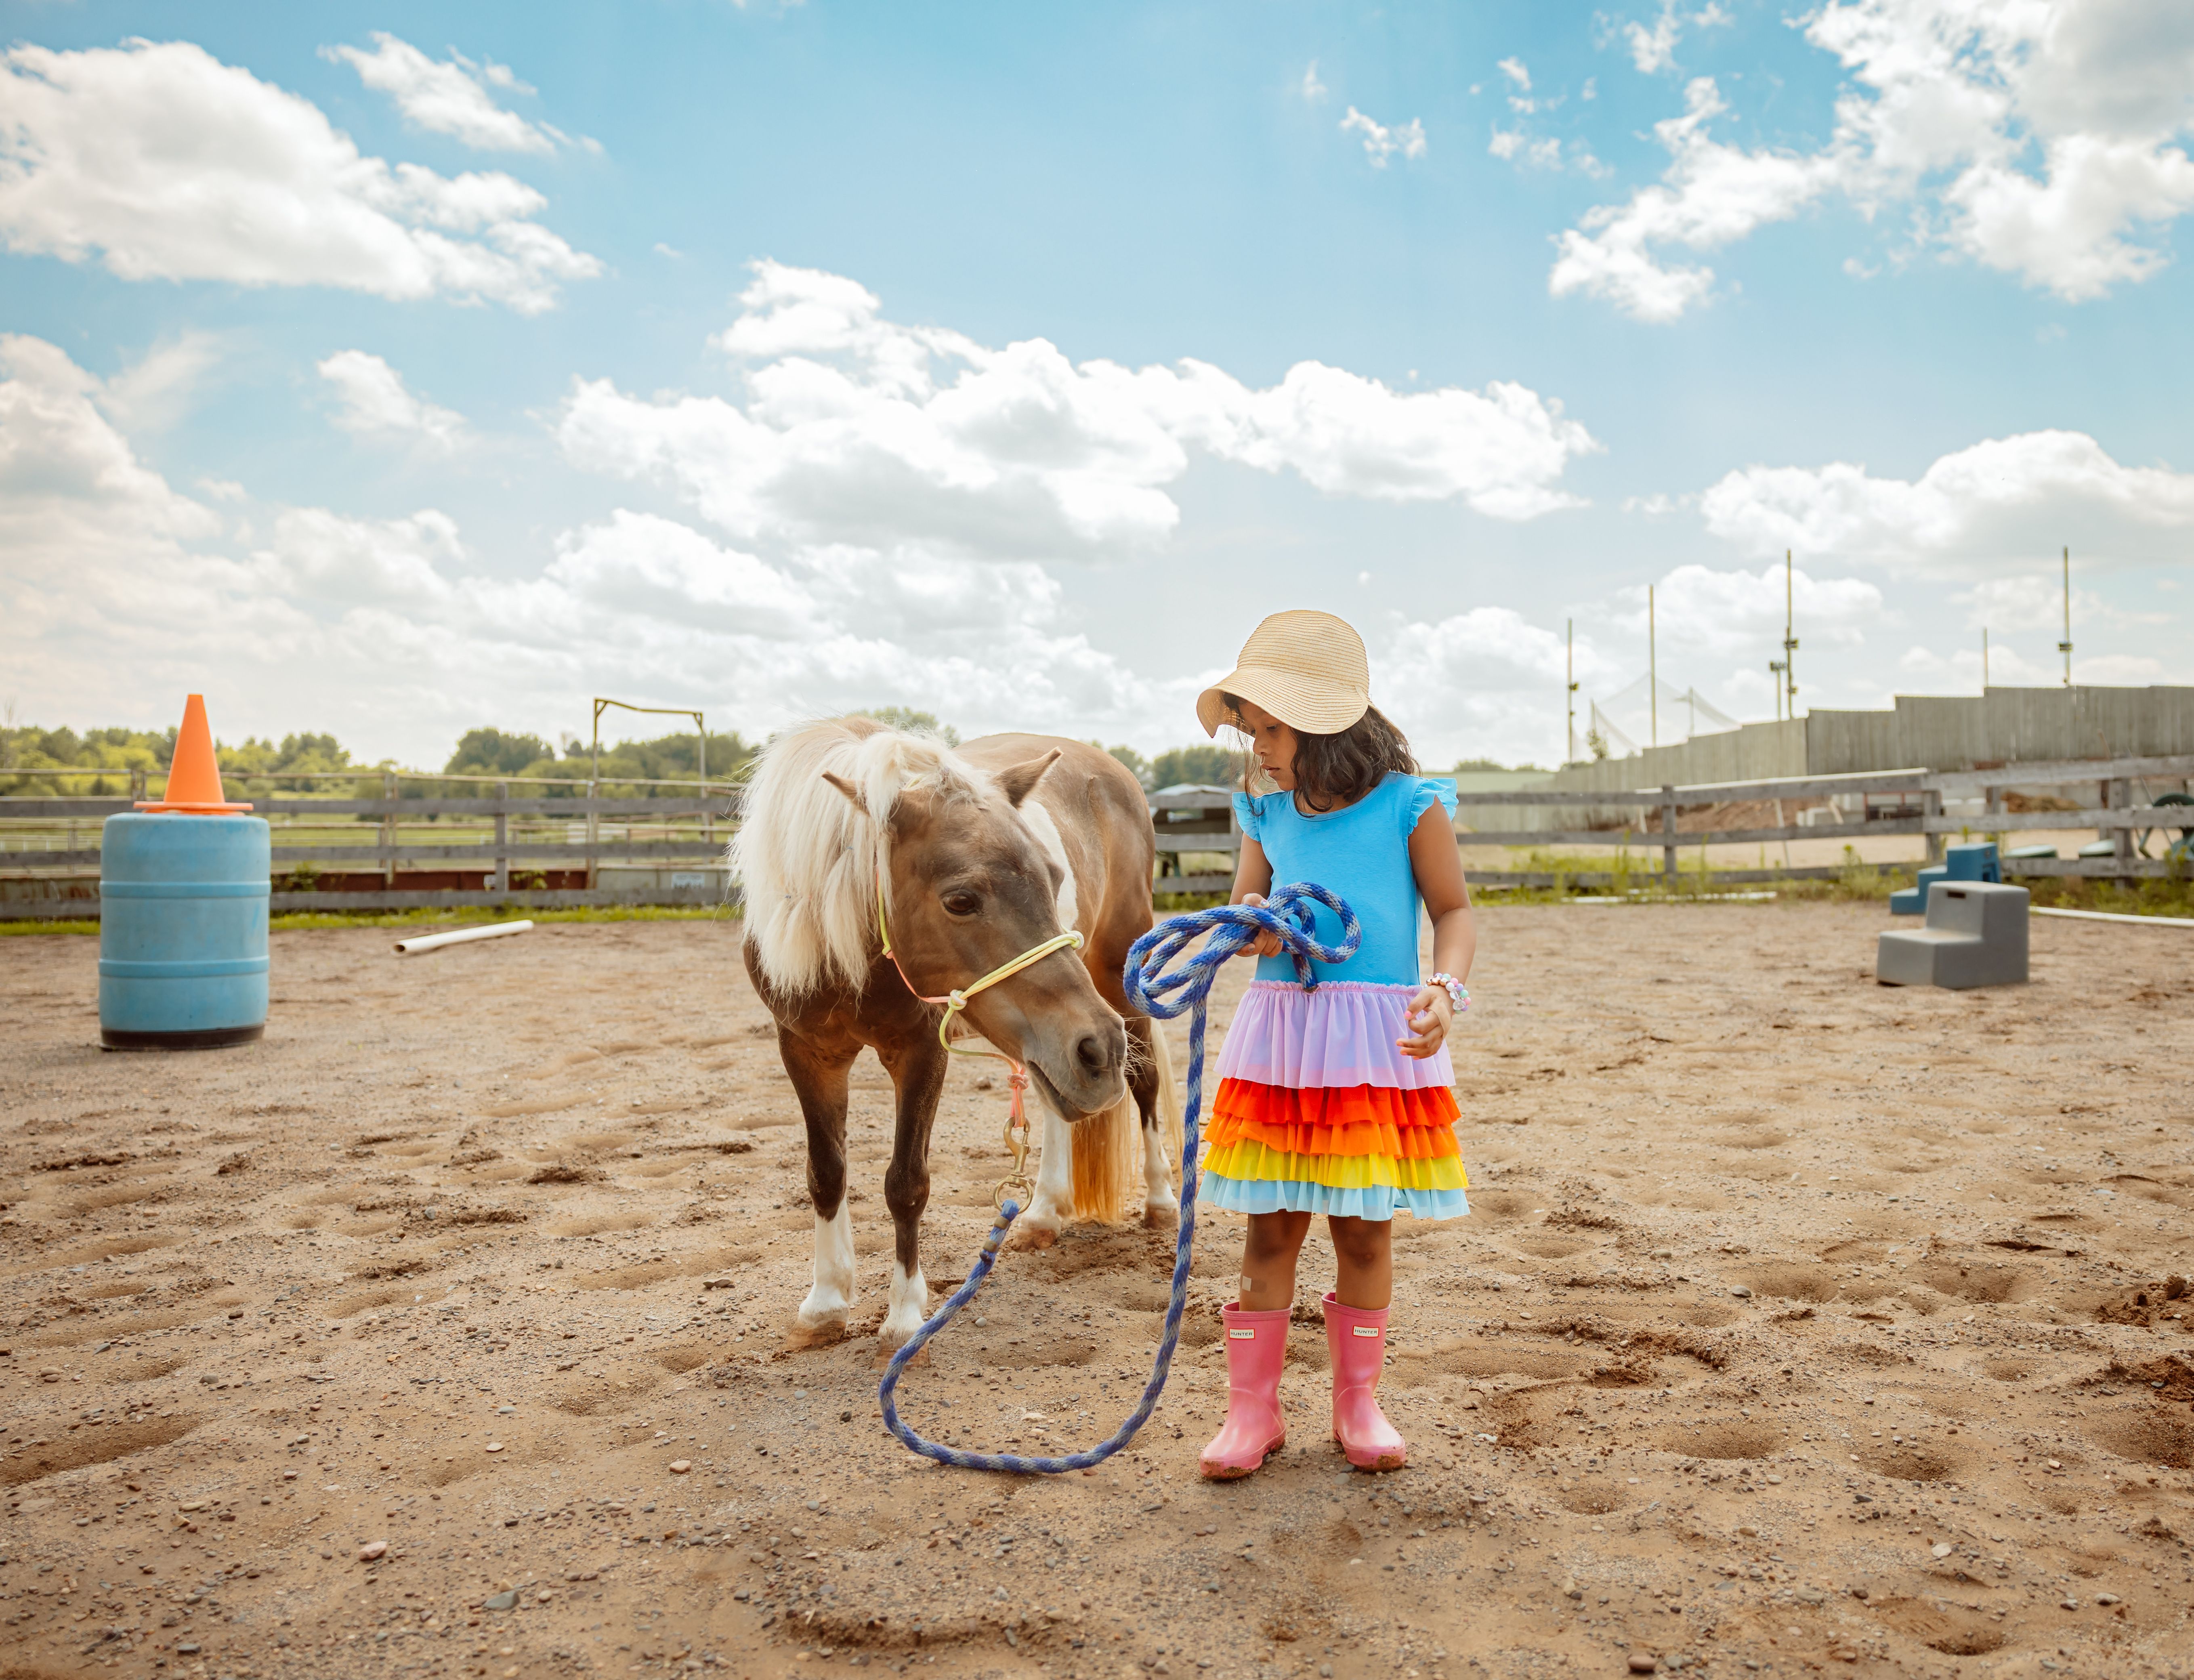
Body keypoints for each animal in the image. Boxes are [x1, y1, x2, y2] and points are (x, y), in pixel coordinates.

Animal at [733, 717, 1183, 1346]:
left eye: (1054, 878)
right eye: (961, 900)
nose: (1100, 1048)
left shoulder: (922, 1052)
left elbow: (906, 1182)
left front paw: (904, 1316)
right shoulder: (804, 1050)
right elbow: (826, 1173)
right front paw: (826, 1301)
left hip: (1115, 982)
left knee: (1143, 1083)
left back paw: (1162, 1200)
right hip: (1049, 1046)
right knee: (1057, 1105)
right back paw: (1044, 1211)